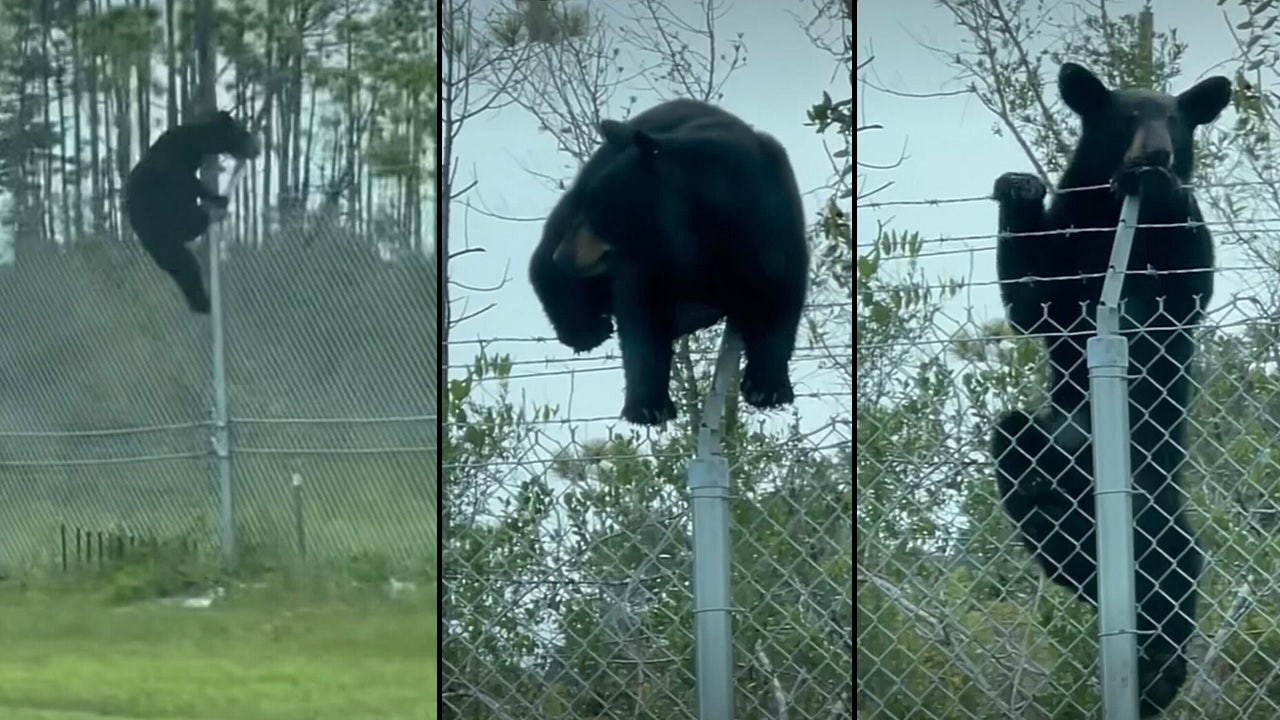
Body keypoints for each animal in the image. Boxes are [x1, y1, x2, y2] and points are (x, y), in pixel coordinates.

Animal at [124, 109, 259, 311]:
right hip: (161, 224)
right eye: (243, 133)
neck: (195, 143)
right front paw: (217, 198)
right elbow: (190, 184)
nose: (257, 149)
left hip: (162, 245)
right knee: (187, 258)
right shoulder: (174, 167)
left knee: (182, 267)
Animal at [529, 101, 808, 425]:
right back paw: (584, 328)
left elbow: (778, 296)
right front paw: (648, 406)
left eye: (598, 210)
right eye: (591, 206)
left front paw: (767, 388)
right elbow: (643, 315)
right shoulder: (649, 259)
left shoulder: (773, 226)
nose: (563, 256)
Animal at [988, 64, 1228, 712]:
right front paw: (1018, 188)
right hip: (1046, 443)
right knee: (1017, 450)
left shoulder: (1172, 269)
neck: (1117, 215)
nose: (1156, 153)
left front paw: (1166, 187)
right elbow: (1031, 301)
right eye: (1127, 118)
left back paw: (1160, 667)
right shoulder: (1068, 240)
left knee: (1169, 567)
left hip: (1150, 494)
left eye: (1175, 120)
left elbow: (1189, 281)